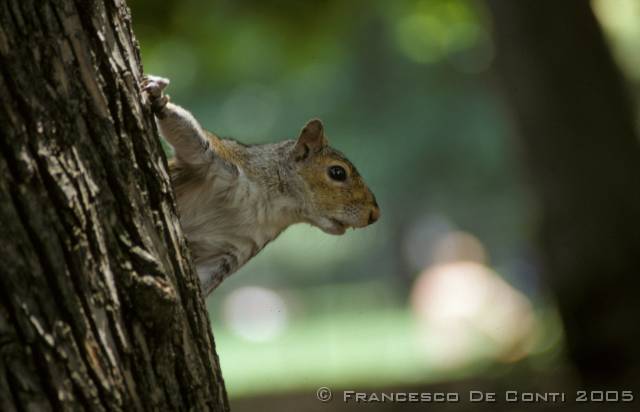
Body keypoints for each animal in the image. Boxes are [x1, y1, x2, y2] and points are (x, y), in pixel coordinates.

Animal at [141, 75, 380, 294]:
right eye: (337, 172)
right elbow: (190, 137)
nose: (375, 215)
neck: (272, 204)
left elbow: (205, 278)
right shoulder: (221, 161)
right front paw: (159, 98)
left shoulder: (231, 251)